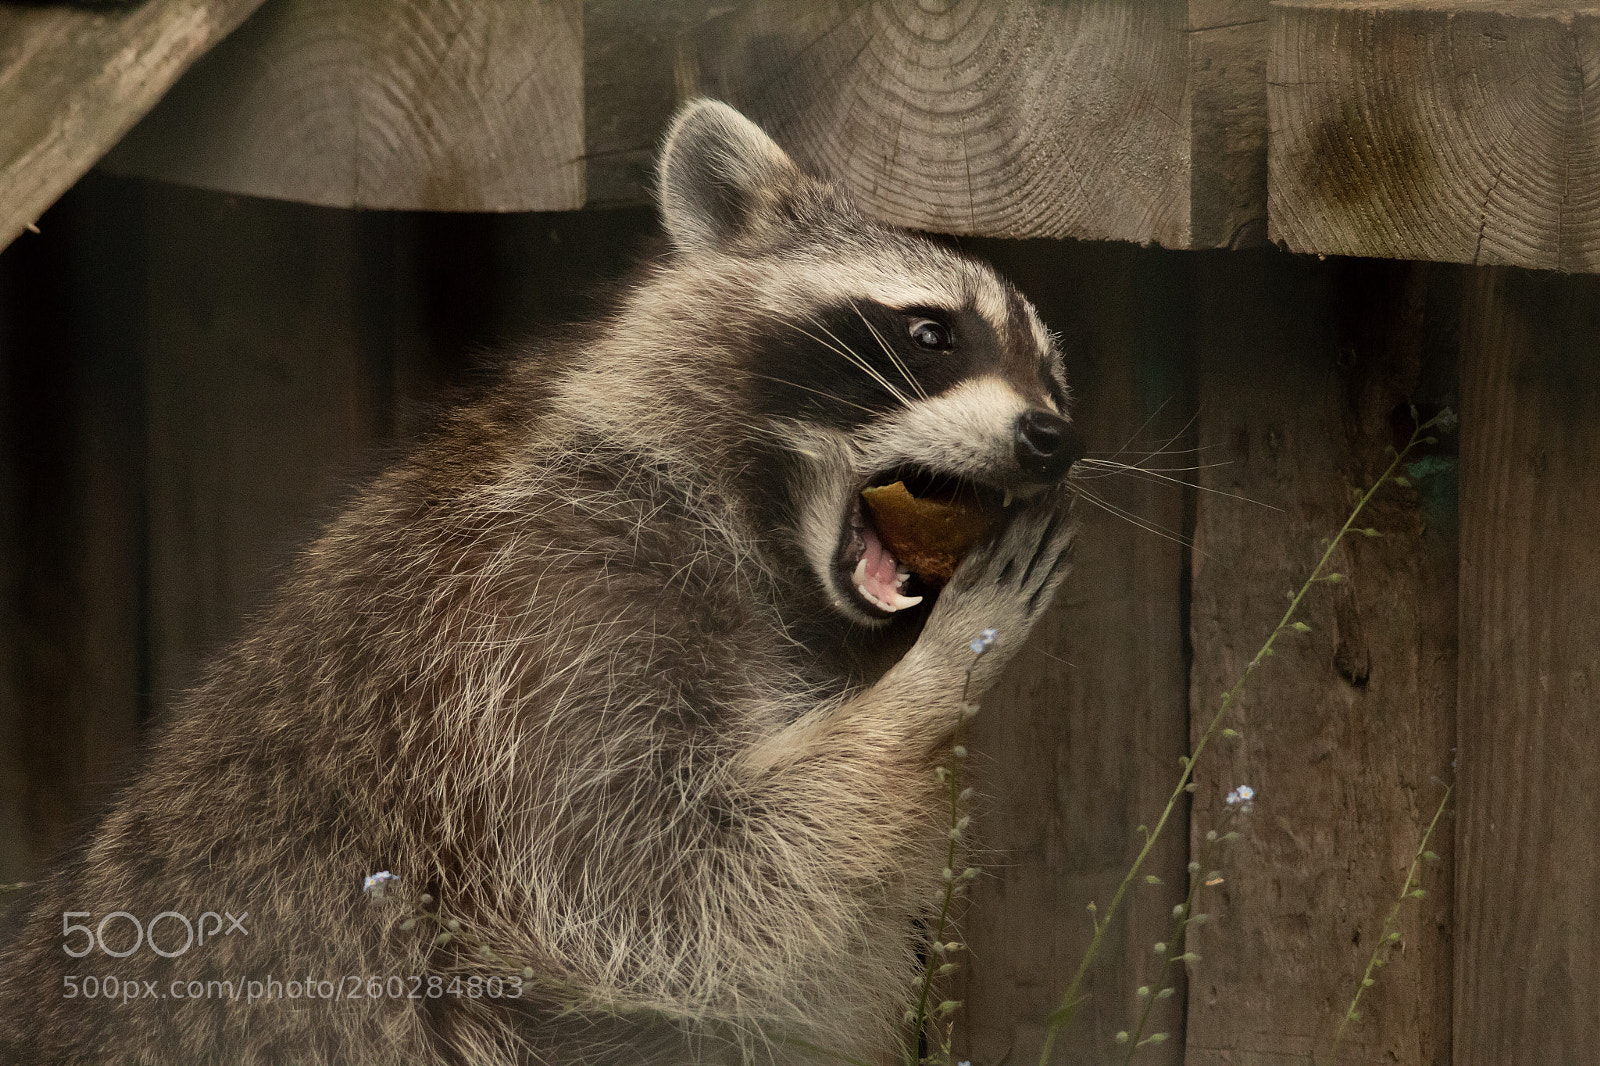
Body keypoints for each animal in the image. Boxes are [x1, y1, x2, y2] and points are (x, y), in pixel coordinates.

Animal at [0, 101, 1082, 1065]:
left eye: (1055, 377)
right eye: (931, 334)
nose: (1053, 436)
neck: (761, 533)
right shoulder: (547, 616)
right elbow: (653, 874)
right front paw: (932, 685)